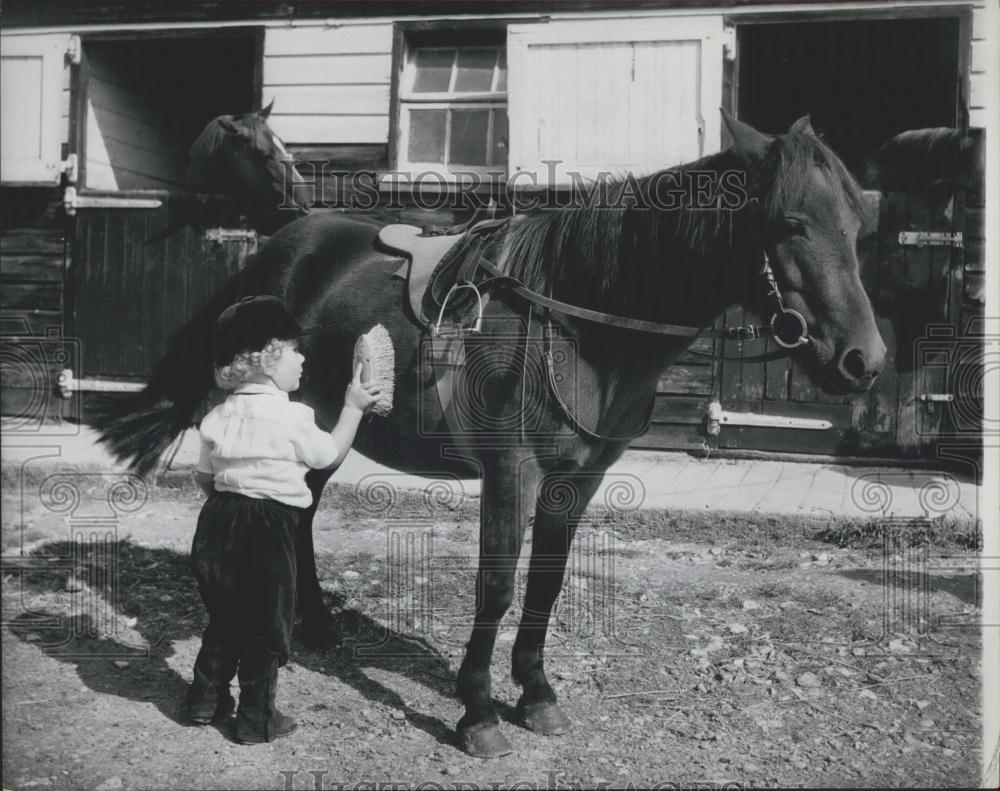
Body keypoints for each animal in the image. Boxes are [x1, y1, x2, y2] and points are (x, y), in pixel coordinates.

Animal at [94, 108, 884, 756]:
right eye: (790, 223)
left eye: (856, 228)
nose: (864, 360)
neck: (580, 320)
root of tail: (282, 242)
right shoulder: (513, 471)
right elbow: (497, 585)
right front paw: (477, 711)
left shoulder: (578, 477)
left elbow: (548, 582)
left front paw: (535, 694)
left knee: (305, 512)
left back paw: (318, 627)